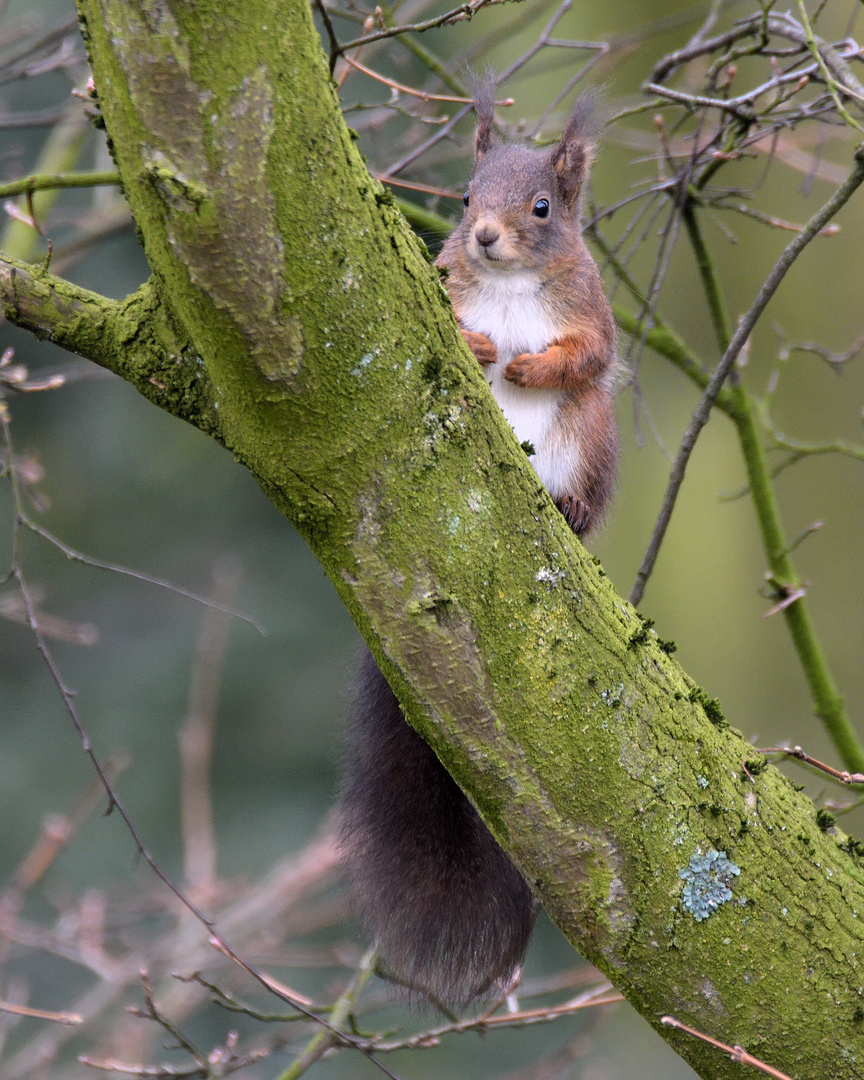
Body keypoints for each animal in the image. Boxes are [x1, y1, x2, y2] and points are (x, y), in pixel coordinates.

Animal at [339, 82, 622, 1002]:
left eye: (542, 207)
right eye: (464, 199)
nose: (485, 236)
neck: (510, 281)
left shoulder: (590, 313)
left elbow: (588, 353)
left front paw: (530, 364)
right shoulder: (447, 288)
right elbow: (461, 327)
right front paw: (484, 345)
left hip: (590, 437)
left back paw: (569, 507)